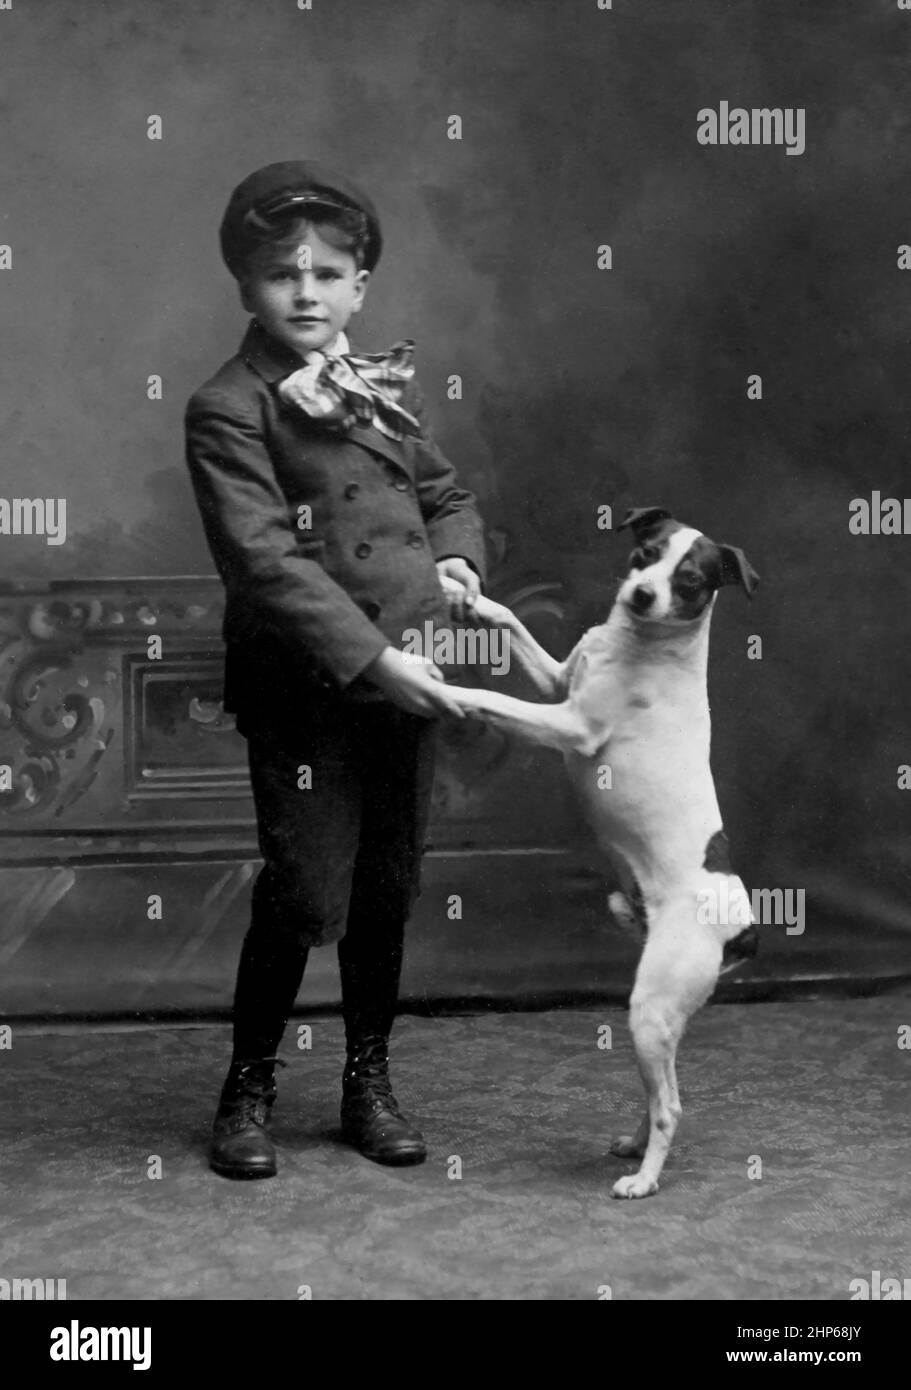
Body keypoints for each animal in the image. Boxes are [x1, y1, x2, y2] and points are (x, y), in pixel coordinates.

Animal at [447, 508, 762, 1195]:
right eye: (645, 552)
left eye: (690, 580)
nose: (642, 594)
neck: (641, 644)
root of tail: (743, 928)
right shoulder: (558, 679)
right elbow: (511, 622)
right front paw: (471, 597)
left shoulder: (569, 724)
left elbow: (497, 702)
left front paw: (440, 687)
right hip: (662, 1019)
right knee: (662, 1091)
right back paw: (635, 1146)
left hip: (649, 1009)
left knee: (671, 1106)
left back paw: (644, 1181)